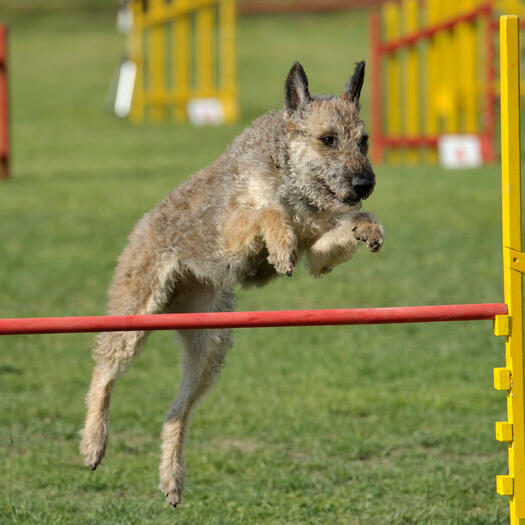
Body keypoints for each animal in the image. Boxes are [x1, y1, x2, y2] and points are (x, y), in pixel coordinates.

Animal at [81, 59, 384, 506]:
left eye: (363, 140)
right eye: (328, 139)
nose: (365, 184)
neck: (289, 176)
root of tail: (141, 227)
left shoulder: (318, 247)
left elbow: (339, 231)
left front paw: (368, 228)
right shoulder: (231, 232)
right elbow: (267, 214)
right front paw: (280, 246)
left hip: (210, 345)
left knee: (177, 412)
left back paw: (172, 479)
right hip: (133, 318)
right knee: (103, 375)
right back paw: (93, 443)